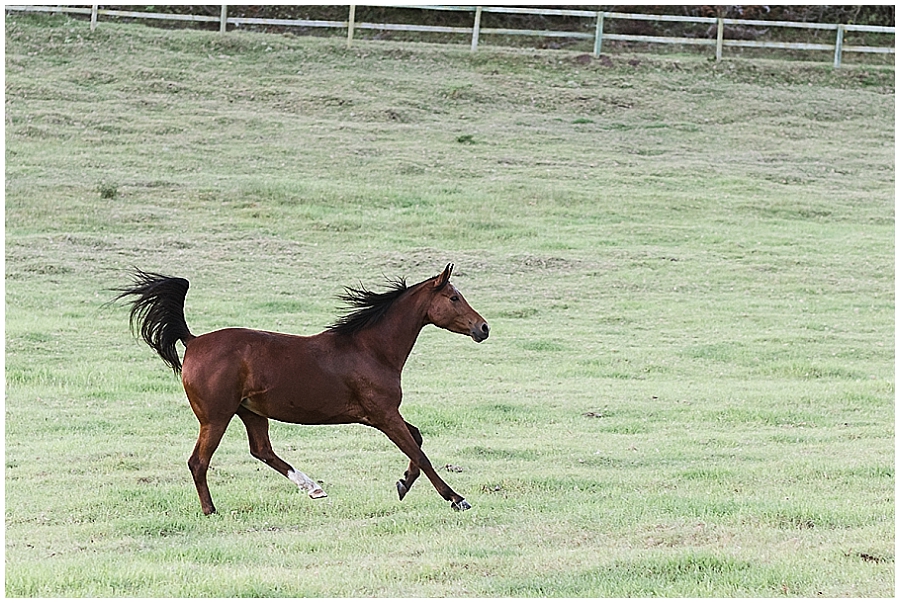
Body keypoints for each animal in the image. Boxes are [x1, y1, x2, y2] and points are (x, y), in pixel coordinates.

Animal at [115, 264, 489, 515]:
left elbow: (417, 441)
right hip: (216, 417)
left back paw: (313, 488)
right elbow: (420, 452)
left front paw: (403, 483)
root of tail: (193, 340)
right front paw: (456, 498)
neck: (370, 349)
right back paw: (211, 511)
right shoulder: (383, 414)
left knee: (261, 450)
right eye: (454, 297)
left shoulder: (380, 415)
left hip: (250, 412)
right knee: (199, 461)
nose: (483, 328)